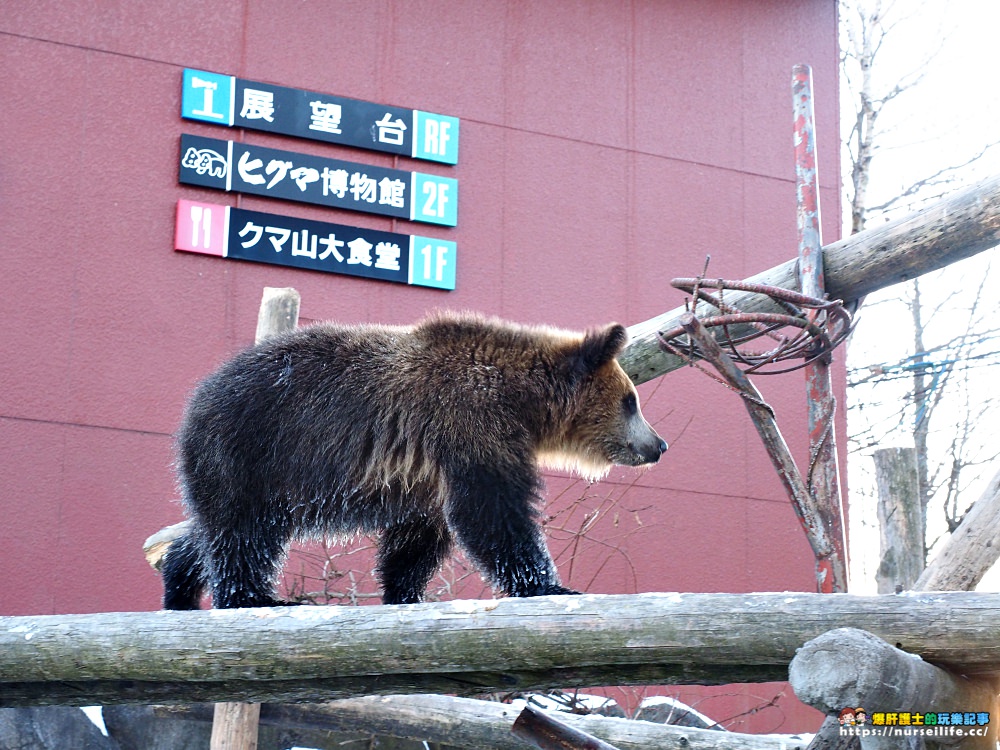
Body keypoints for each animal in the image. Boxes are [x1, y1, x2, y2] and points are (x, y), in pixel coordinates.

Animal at [162, 312, 664, 612]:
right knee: (242, 532)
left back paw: (179, 583)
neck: (521, 403)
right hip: (254, 450)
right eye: (631, 401)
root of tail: (198, 395)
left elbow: (419, 536)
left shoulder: (429, 471)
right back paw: (256, 598)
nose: (658, 445)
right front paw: (548, 583)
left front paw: (406, 592)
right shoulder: (470, 425)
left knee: (215, 531)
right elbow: (492, 512)